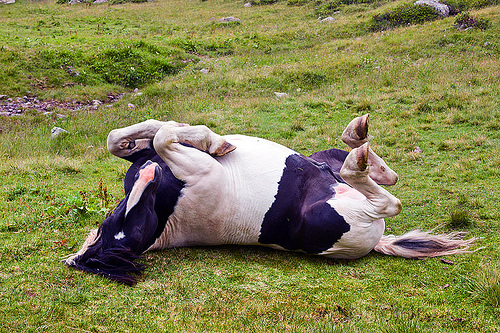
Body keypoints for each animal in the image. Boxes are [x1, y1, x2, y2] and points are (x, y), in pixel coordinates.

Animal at [64, 115, 474, 284]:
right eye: (121, 233)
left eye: (110, 224)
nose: (150, 175)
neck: (169, 210)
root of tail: (377, 242)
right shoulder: (197, 169)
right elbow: (164, 136)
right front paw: (214, 141)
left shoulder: (150, 151)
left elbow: (128, 135)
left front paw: (206, 137)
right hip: (345, 211)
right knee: (384, 199)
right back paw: (358, 153)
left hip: (326, 162)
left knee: (377, 173)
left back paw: (357, 135)